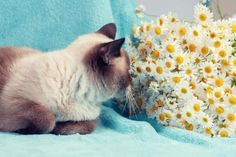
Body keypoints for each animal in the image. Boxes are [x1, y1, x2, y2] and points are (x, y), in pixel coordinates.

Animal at [0, 23, 131, 135]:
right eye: (129, 73)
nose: (132, 83)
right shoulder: (14, 102)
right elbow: (48, 120)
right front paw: (24, 130)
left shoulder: (90, 118)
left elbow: (85, 126)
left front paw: (58, 128)